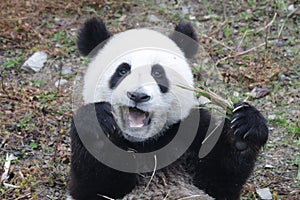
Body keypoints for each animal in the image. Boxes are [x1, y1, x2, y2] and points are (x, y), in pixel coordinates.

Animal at [67, 18, 268, 199]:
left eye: (158, 73)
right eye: (122, 71)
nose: (138, 96)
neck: (147, 143)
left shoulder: (192, 130)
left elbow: (220, 179)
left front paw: (243, 131)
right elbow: (96, 184)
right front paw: (97, 128)